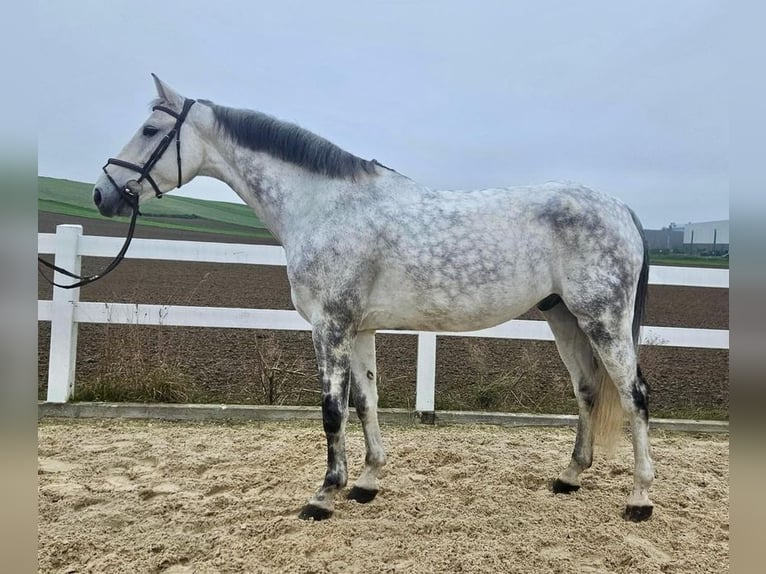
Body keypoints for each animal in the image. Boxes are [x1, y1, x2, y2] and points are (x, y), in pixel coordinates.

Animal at [91, 77, 656, 528]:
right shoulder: (358, 329)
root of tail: (621, 208)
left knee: (634, 395)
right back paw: (570, 476)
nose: (102, 193)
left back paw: (640, 498)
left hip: (602, 319)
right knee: (587, 390)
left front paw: (324, 494)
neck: (324, 207)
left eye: (149, 131)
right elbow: (365, 402)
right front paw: (366, 482)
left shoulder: (330, 326)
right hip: (564, 317)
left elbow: (332, 411)